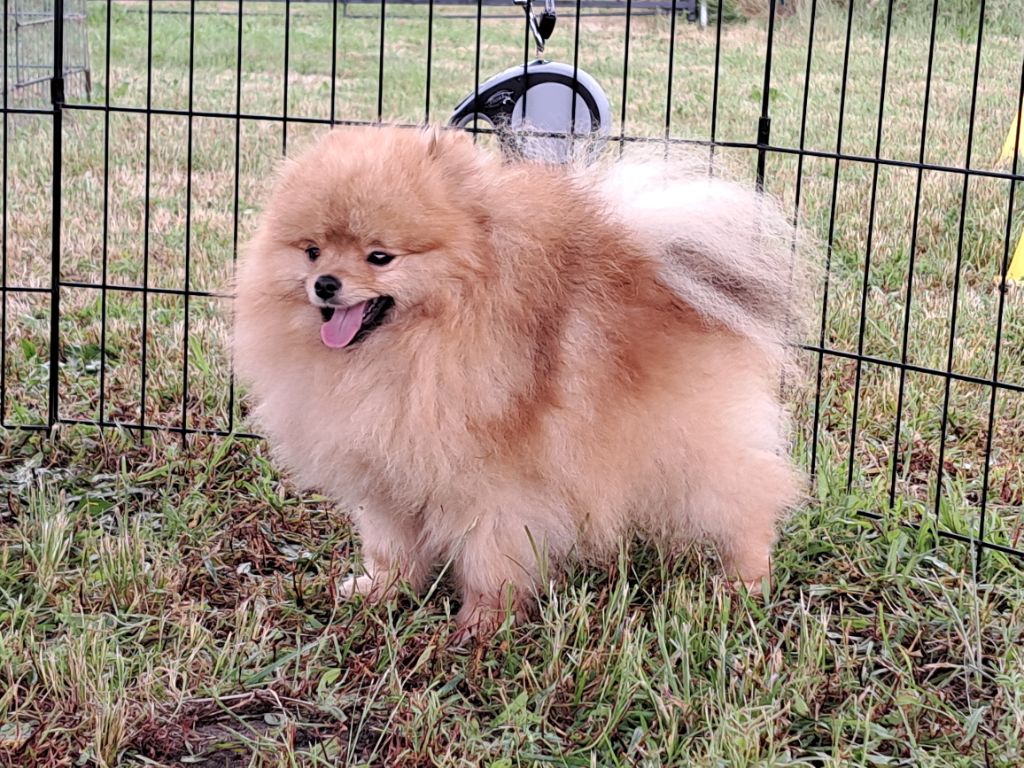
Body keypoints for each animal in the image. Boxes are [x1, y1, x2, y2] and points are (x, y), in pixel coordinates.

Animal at [235, 126, 811, 638]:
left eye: (380, 257)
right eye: (312, 250)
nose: (325, 284)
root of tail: (657, 269)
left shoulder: (495, 487)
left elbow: (491, 559)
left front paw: (482, 623)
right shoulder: (387, 477)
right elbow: (391, 547)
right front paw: (381, 591)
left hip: (694, 447)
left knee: (748, 498)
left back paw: (745, 581)